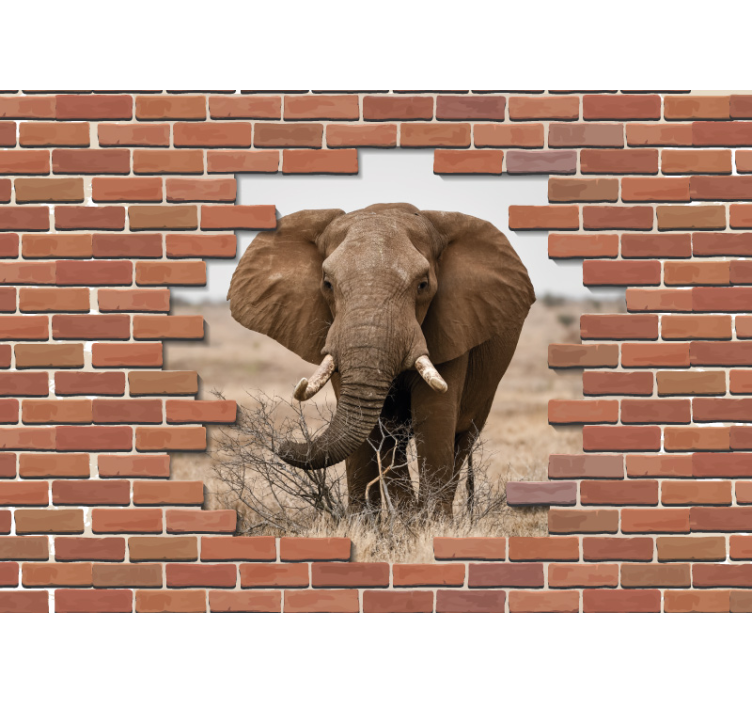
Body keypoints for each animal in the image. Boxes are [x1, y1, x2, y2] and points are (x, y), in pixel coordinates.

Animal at [227, 203, 535, 517]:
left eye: (423, 285)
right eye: (327, 284)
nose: (280, 441)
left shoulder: (452, 327)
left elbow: (434, 416)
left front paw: (429, 524)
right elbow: (375, 430)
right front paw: (371, 523)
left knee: (463, 439)